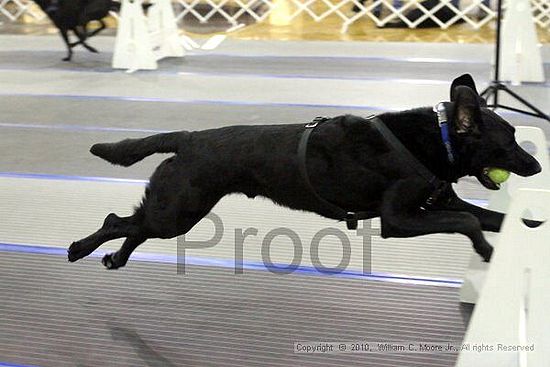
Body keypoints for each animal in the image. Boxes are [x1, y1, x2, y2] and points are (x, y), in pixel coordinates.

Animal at [67, 75, 540, 270]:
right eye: (510, 140)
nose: (536, 166)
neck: (436, 142)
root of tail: (187, 138)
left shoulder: (437, 203)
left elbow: (494, 217)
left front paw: (533, 225)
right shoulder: (398, 220)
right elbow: (466, 222)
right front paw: (486, 250)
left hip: (175, 210)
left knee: (135, 224)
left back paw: (115, 258)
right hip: (179, 210)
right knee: (118, 221)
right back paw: (77, 248)